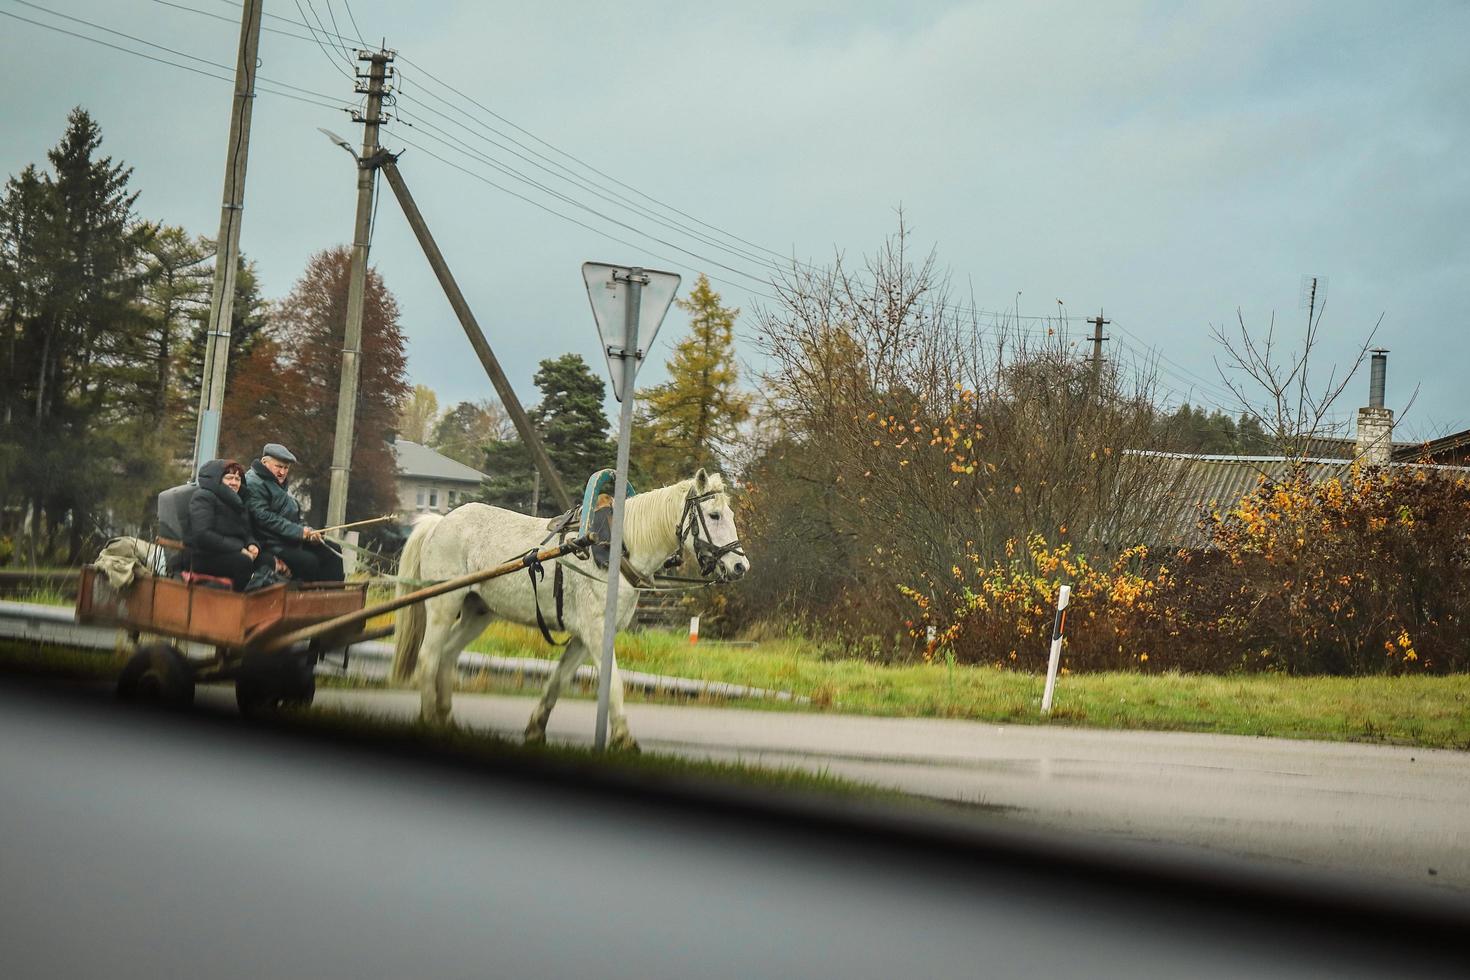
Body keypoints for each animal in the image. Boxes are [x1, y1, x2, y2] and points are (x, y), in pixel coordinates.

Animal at [391, 470, 746, 752]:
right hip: (443, 603)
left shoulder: (584, 637)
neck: (616, 549)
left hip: (478, 611)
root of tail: (440, 522)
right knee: (429, 658)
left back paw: (446, 720)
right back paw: (429, 720)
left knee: (448, 655)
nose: (740, 566)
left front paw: (535, 730)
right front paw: (624, 739)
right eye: (715, 515)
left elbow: (558, 681)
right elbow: (614, 684)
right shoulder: (595, 631)